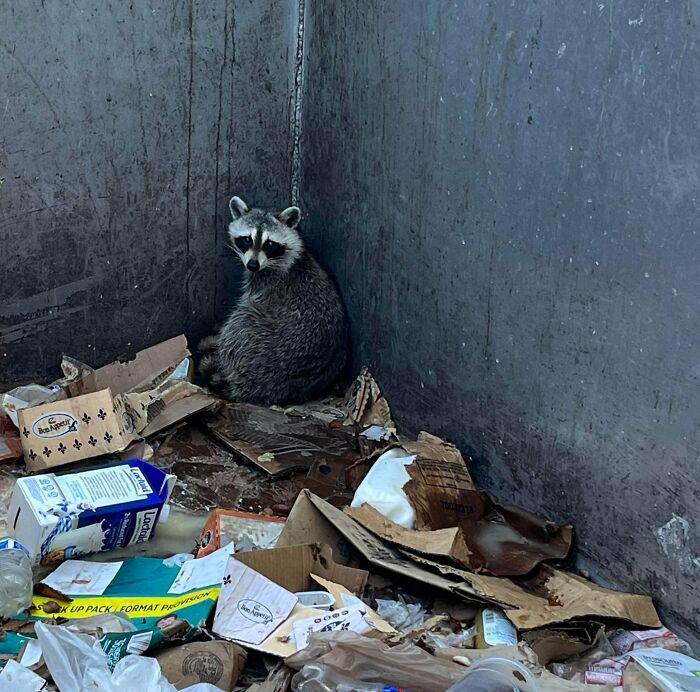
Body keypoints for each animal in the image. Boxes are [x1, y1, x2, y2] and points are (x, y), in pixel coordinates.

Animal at [199, 196, 348, 405]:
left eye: (269, 244)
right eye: (247, 239)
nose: (252, 265)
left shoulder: (263, 283)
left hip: (252, 337)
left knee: (239, 321)